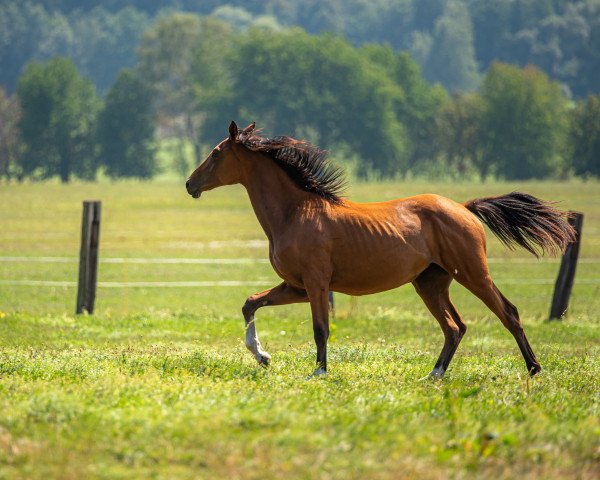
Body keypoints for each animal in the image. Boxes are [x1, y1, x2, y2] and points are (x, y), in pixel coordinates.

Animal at [185, 122, 576, 380]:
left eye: (216, 153)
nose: (190, 184)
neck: (295, 212)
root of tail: (465, 208)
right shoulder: (297, 286)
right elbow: (250, 302)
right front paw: (263, 356)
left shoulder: (315, 283)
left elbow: (320, 328)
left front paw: (318, 373)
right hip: (431, 282)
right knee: (455, 326)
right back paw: (434, 375)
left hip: (472, 273)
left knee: (507, 313)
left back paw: (533, 369)